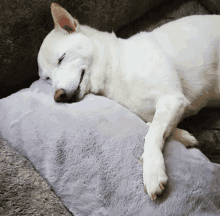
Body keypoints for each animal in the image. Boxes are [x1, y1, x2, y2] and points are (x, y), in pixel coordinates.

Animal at [37, 2, 220, 200]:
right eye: (47, 78)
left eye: (61, 58)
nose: (58, 95)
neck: (115, 69)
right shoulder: (162, 107)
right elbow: (153, 126)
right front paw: (184, 137)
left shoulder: (172, 98)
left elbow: (152, 135)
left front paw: (152, 171)